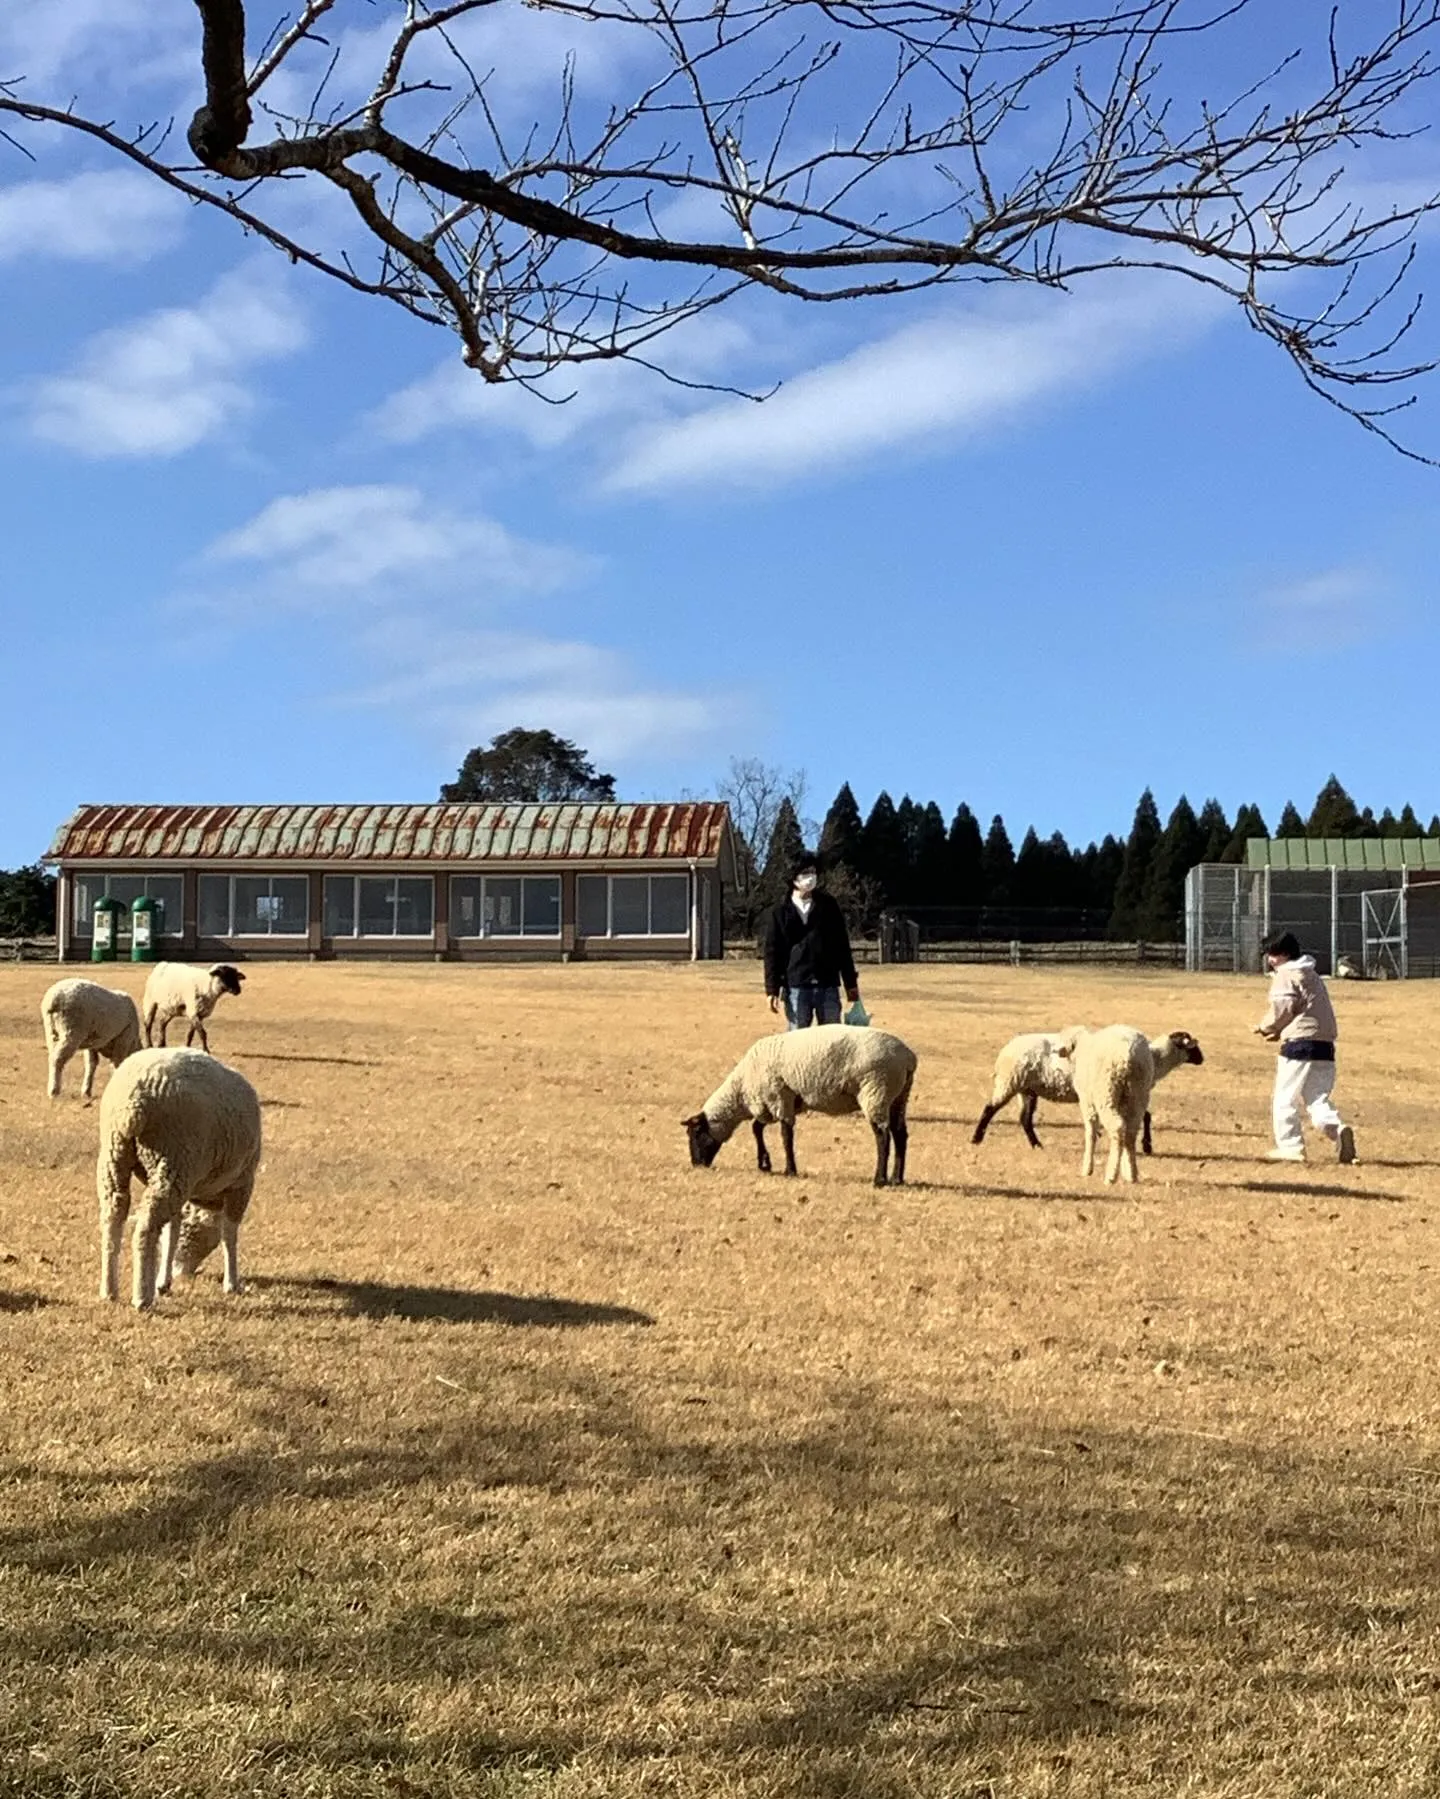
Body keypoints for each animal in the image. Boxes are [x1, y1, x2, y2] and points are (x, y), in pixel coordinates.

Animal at [96, 1043, 261, 1309]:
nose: (181, 1272)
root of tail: (135, 1099)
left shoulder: (186, 1183)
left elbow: (171, 1231)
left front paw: (163, 1281)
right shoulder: (242, 1183)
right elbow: (229, 1234)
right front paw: (232, 1283)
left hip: (118, 1156)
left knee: (113, 1217)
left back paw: (109, 1290)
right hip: (173, 1159)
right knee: (145, 1228)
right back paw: (142, 1297)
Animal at [684, 1021, 910, 1187]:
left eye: (696, 1133)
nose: (696, 1164)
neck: (740, 1091)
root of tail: (908, 1058)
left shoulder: (778, 1097)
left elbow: (785, 1135)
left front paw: (789, 1170)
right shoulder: (773, 1102)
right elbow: (757, 1128)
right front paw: (764, 1163)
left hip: (876, 1090)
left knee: (882, 1135)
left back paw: (880, 1179)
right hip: (898, 1098)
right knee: (900, 1134)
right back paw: (897, 1178)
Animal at [964, 1029, 1202, 1151]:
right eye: (1194, 1047)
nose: (1202, 1059)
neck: (1156, 1058)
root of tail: (1006, 1050)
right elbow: (1146, 1116)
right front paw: (1147, 1145)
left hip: (1027, 1089)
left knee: (1025, 1119)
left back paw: (1037, 1144)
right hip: (1010, 1081)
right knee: (989, 1108)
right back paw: (976, 1139)